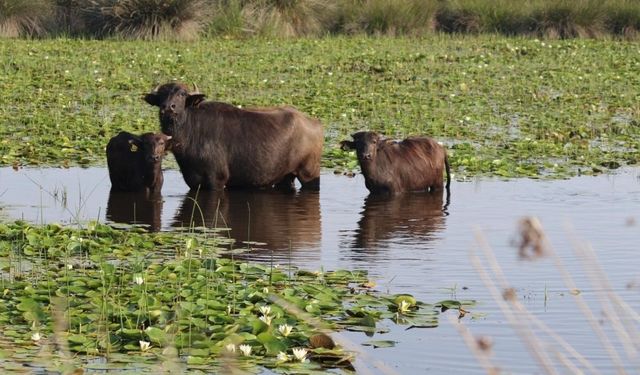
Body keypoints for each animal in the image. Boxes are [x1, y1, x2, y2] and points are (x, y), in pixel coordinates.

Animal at [143, 82, 322, 191]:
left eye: (182, 94)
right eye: (161, 95)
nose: (168, 108)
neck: (190, 133)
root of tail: (314, 122)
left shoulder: (216, 180)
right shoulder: (193, 182)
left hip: (309, 174)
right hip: (286, 177)